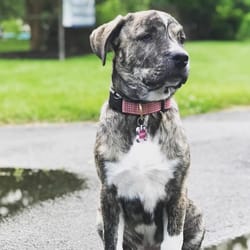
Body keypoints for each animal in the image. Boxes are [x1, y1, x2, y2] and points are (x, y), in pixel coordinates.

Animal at [91, 9, 204, 250]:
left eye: (181, 39)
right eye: (146, 36)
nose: (182, 57)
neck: (143, 112)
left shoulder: (176, 195)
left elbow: (173, 241)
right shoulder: (109, 196)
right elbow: (112, 242)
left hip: (196, 214)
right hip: (98, 216)